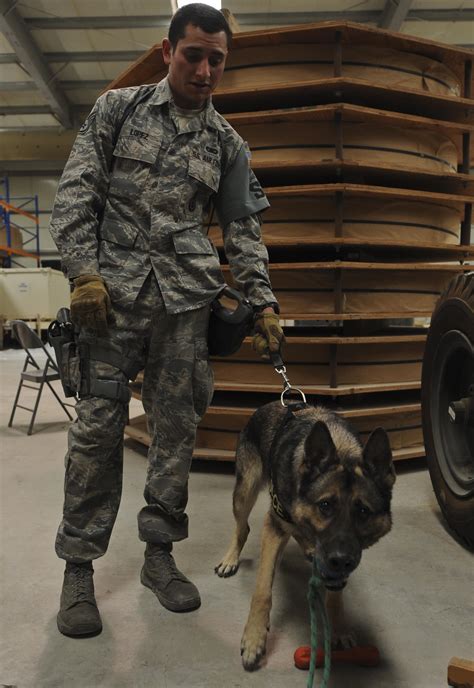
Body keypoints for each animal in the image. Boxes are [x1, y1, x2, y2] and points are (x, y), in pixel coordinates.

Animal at [215, 400, 396, 668]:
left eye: (363, 511)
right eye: (325, 505)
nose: (340, 559)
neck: (342, 450)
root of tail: (272, 404)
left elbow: (336, 596)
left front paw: (339, 628)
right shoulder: (274, 528)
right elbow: (262, 591)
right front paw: (254, 638)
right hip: (245, 490)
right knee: (242, 527)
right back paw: (230, 558)